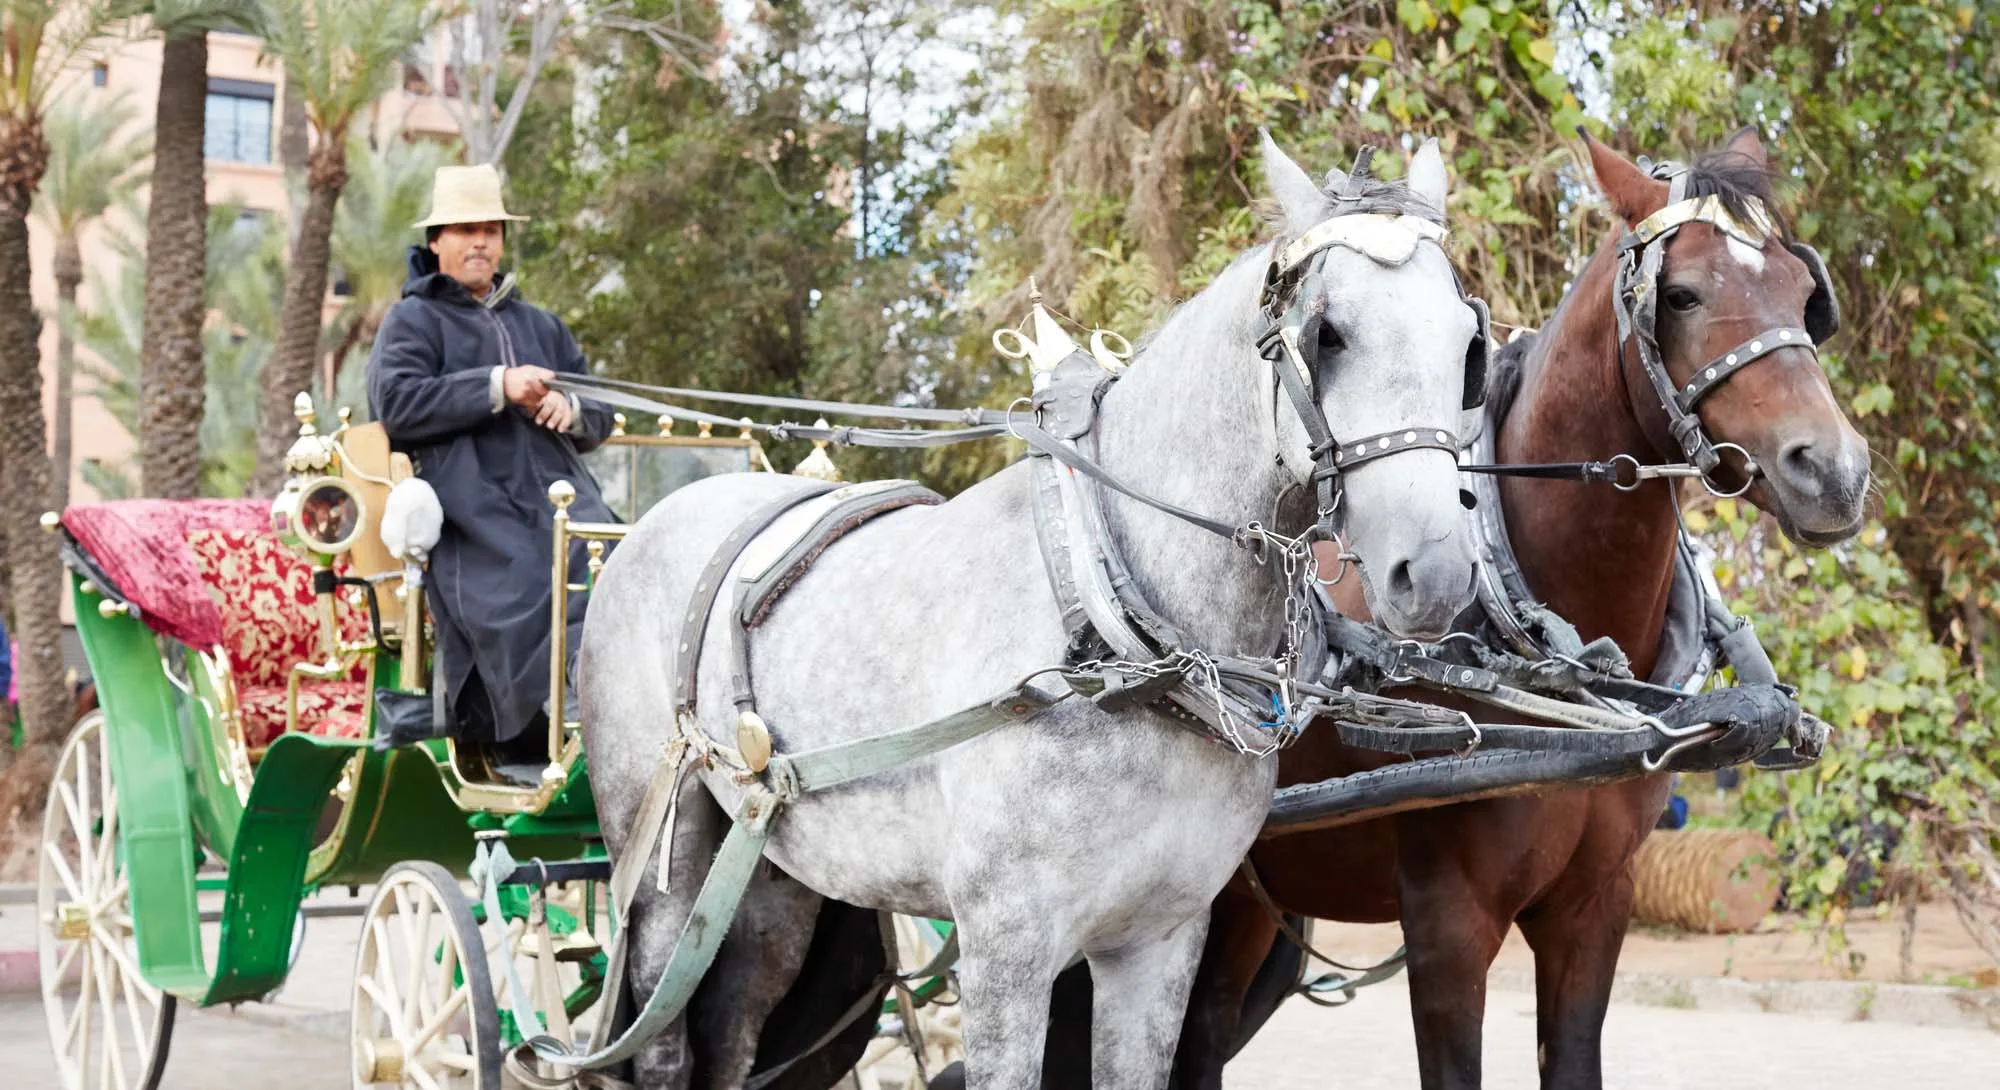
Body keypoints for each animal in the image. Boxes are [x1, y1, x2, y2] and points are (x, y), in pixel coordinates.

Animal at [578, 132, 1491, 1089]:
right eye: (1328, 332)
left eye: (1470, 343)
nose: (1432, 571)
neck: (1112, 636)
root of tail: (655, 521)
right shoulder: (1005, 952)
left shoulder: (1160, 941)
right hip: (663, 861)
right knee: (663, 1042)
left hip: (768, 875)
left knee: (734, 1023)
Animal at [1029, 126, 1873, 1090]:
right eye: (1683, 293)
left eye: (1807, 294)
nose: (1835, 471)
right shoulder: (1448, 921)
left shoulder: (1597, 907)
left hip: (1238, 902)